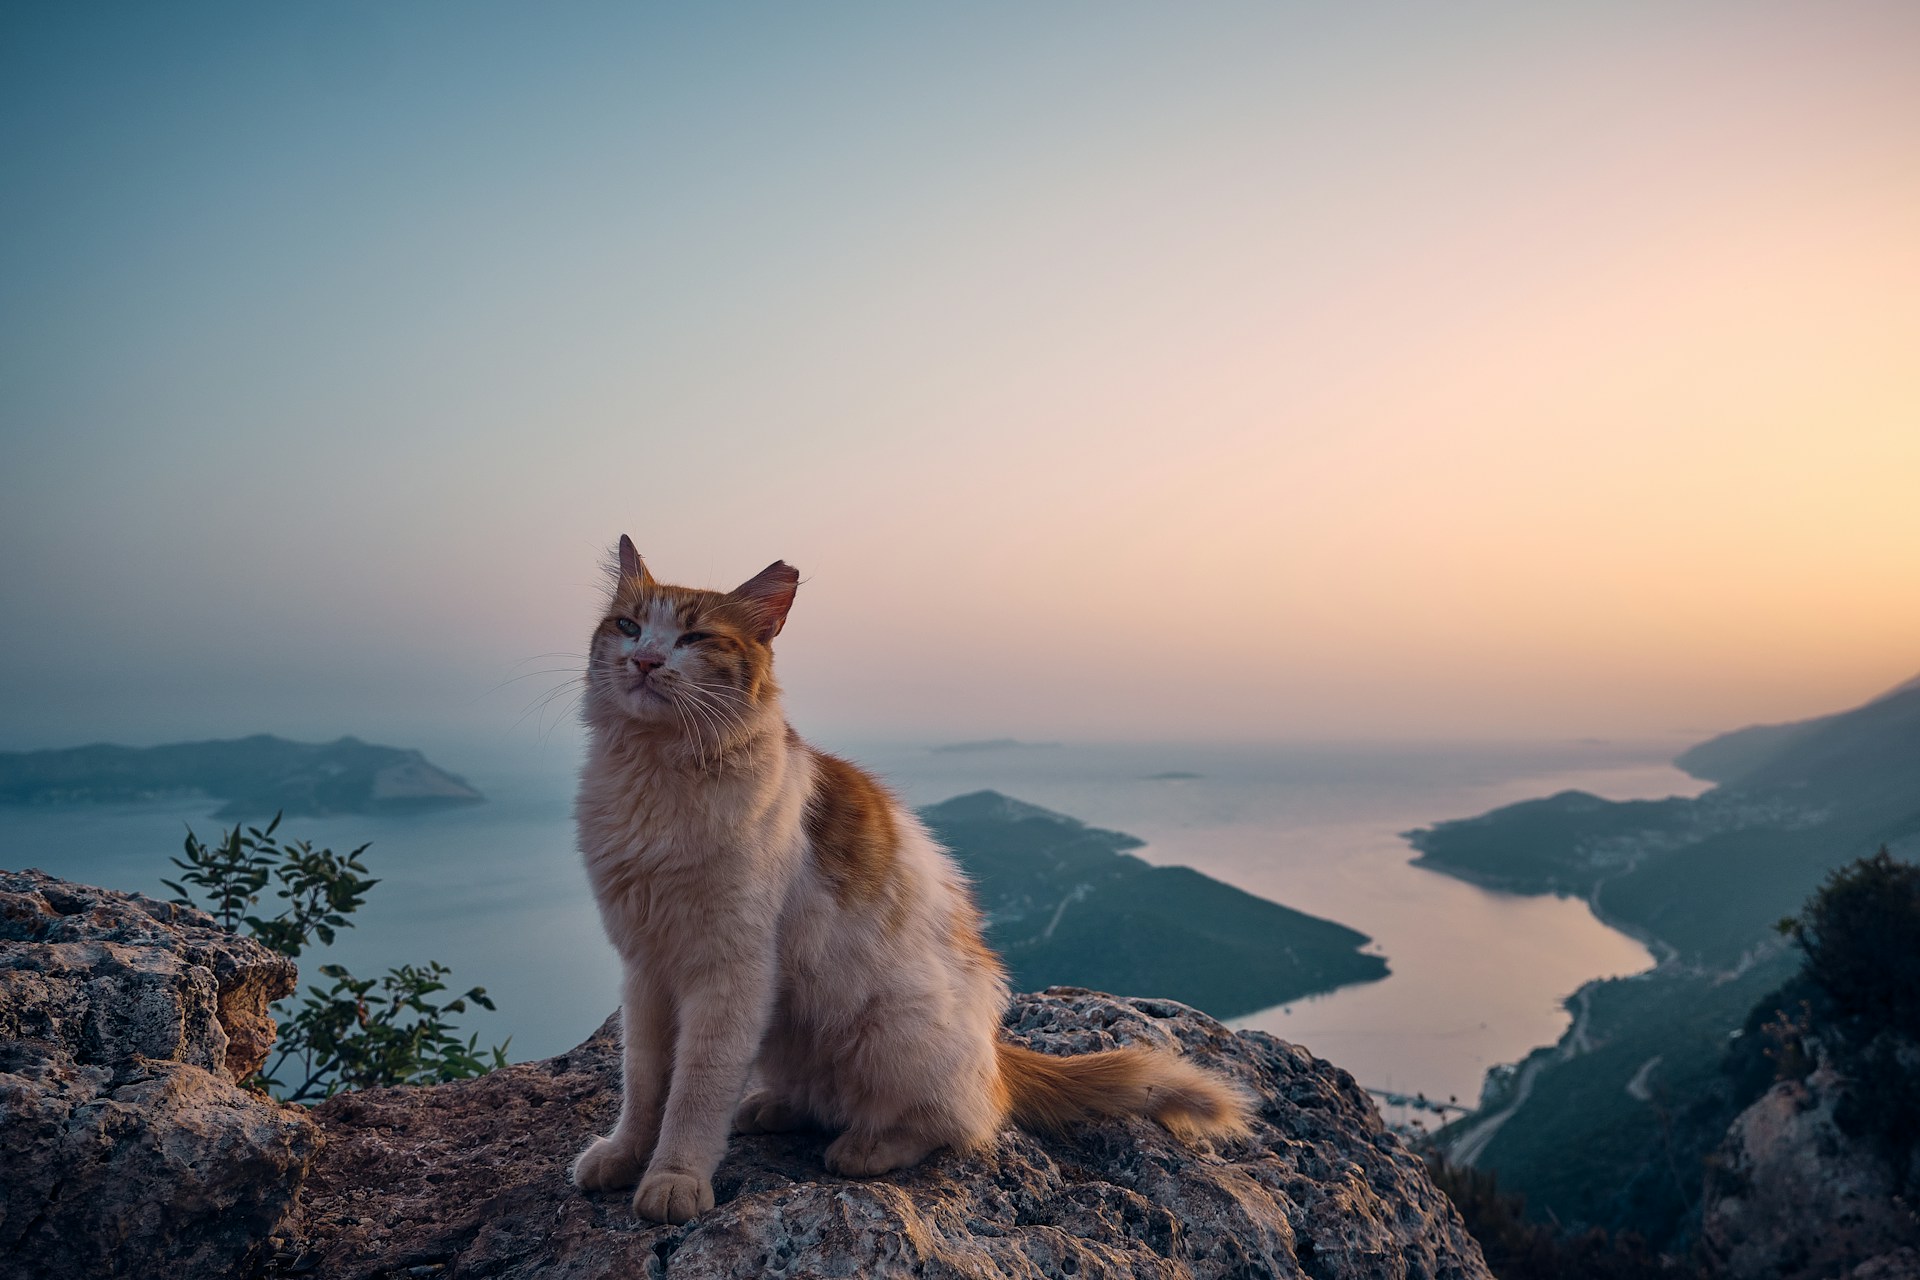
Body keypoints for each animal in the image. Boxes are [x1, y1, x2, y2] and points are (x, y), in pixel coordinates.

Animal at [564, 537, 1259, 1228]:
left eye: (694, 637)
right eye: (628, 627)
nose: (646, 660)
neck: (656, 776)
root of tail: (995, 1055)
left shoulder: (728, 972)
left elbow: (694, 1091)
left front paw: (675, 1177)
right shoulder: (646, 966)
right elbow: (644, 1082)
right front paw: (625, 1156)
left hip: (890, 1029)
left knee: (957, 1122)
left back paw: (865, 1146)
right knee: (825, 1098)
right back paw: (773, 1107)